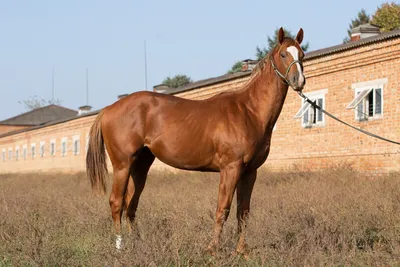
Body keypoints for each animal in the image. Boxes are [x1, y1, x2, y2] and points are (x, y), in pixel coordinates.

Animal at [86, 27, 306, 258]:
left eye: (302, 55)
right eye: (283, 54)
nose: (298, 81)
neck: (249, 111)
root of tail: (108, 109)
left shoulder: (249, 172)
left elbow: (243, 212)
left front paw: (241, 251)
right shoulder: (230, 168)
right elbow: (223, 208)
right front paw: (212, 249)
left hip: (141, 165)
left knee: (131, 204)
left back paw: (138, 244)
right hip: (122, 164)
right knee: (116, 202)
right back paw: (120, 247)